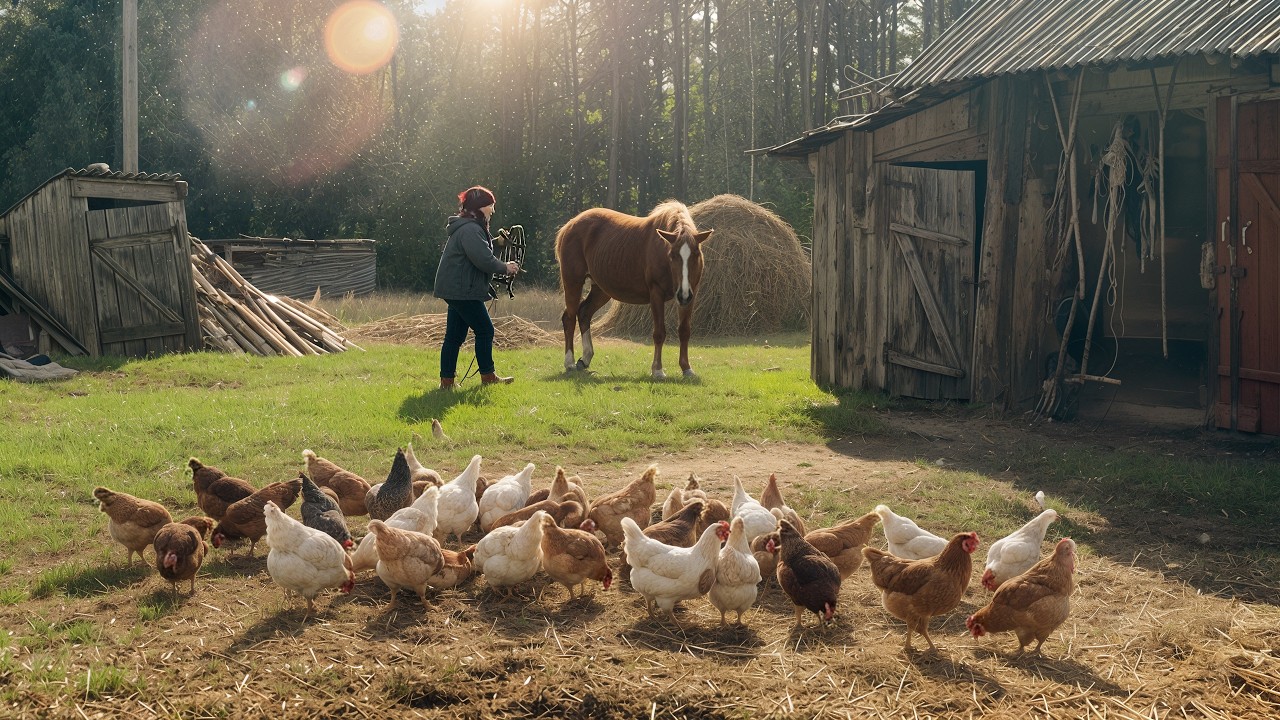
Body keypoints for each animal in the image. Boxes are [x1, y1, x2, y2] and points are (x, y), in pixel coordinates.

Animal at [556, 200, 713, 379]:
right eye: (672, 255)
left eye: (696, 254)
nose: (683, 295)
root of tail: (570, 225)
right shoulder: (656, 293)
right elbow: (659, 332)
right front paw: (657, 370)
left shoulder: (690, 295)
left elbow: (684, 331)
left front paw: (686, 368)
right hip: (573, 282)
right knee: (569, 319)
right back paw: (569, 363)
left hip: (601, 289)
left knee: (584, 313)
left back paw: (585, 358)